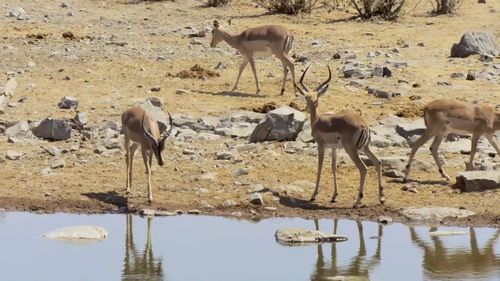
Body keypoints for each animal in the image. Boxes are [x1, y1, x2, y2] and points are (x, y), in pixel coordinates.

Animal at [294, 64, 384, 207]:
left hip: (351, 150)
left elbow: (320, 167)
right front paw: (334, 196)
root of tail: (364, 125)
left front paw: (314, 195)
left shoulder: (321, 145)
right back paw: (381, 198)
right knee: (378, 162)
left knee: (363, 168)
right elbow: (333, 167)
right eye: (308, 97)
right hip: (365, 148)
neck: (317, 120)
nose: (306, 108)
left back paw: (358, 201)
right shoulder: (334, 148)